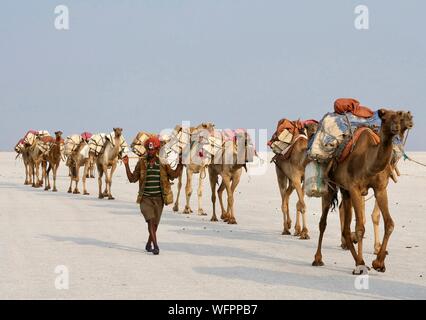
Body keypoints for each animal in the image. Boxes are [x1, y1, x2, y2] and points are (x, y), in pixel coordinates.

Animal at [312, 109, 404, 274]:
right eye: (385, 118)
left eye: (399, 118)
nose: (396, 128)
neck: (368, 162)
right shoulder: (355, 188)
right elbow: (360, 227)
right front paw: (362, 263)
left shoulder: (380, 189)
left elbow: (389, 224)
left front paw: (378, 263)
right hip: (331, 187)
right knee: (323, 222)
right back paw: (318, 259)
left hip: (345, 191)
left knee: (346, 228)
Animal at [340, 111, 412, 254]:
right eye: (401, 116)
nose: (410, 118)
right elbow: (365, 216)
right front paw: (373, 247)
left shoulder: (381, 185)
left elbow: (374, 215)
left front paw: (377, 247)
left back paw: (345, 241)